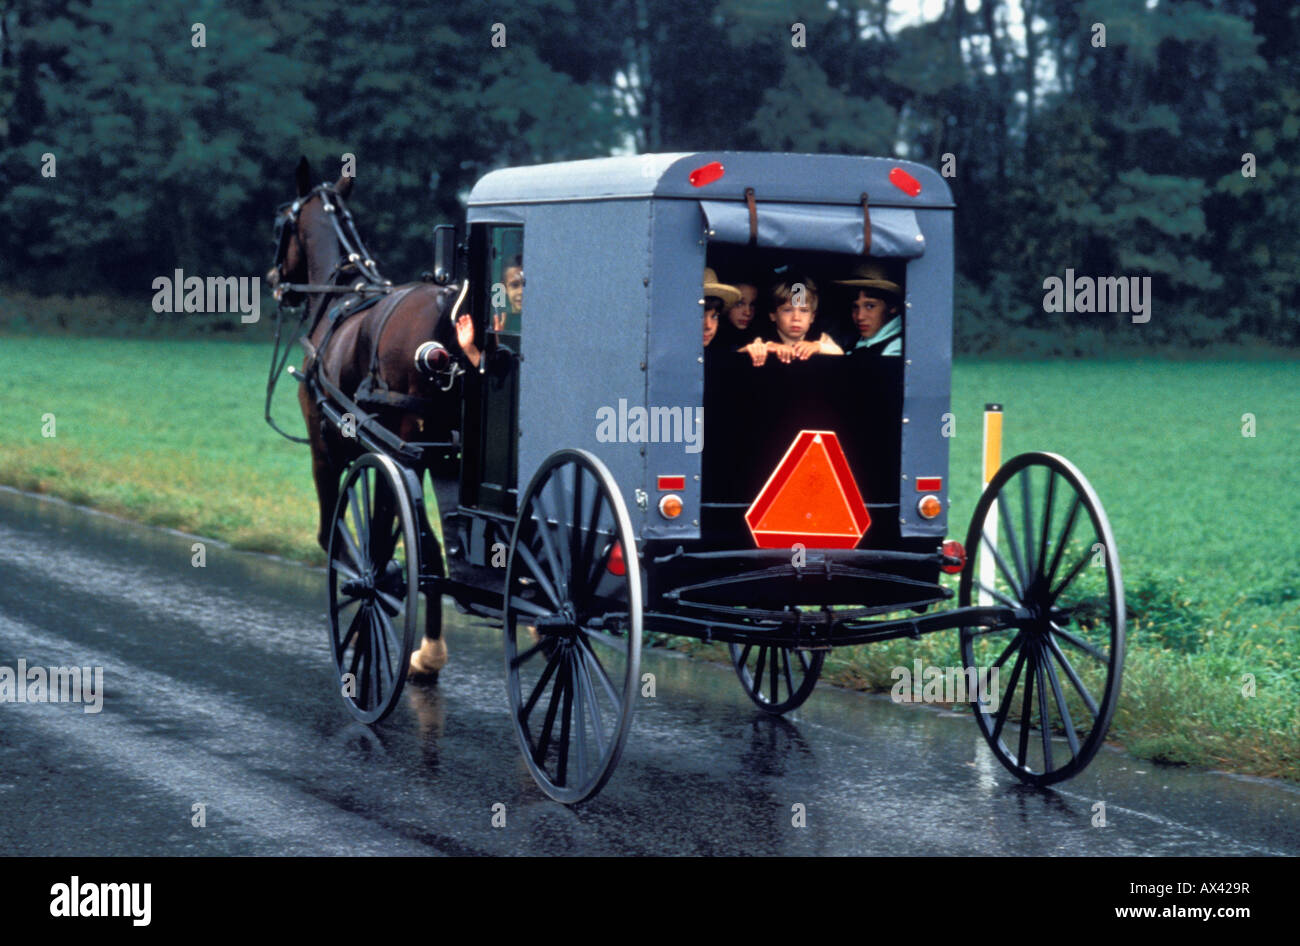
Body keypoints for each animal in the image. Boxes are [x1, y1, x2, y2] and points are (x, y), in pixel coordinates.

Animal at [266, 159, 465, 686]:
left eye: (281, 223)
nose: (275, 278)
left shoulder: (333, 451)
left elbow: (340, 536)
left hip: (405, 447)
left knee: (424, 545)